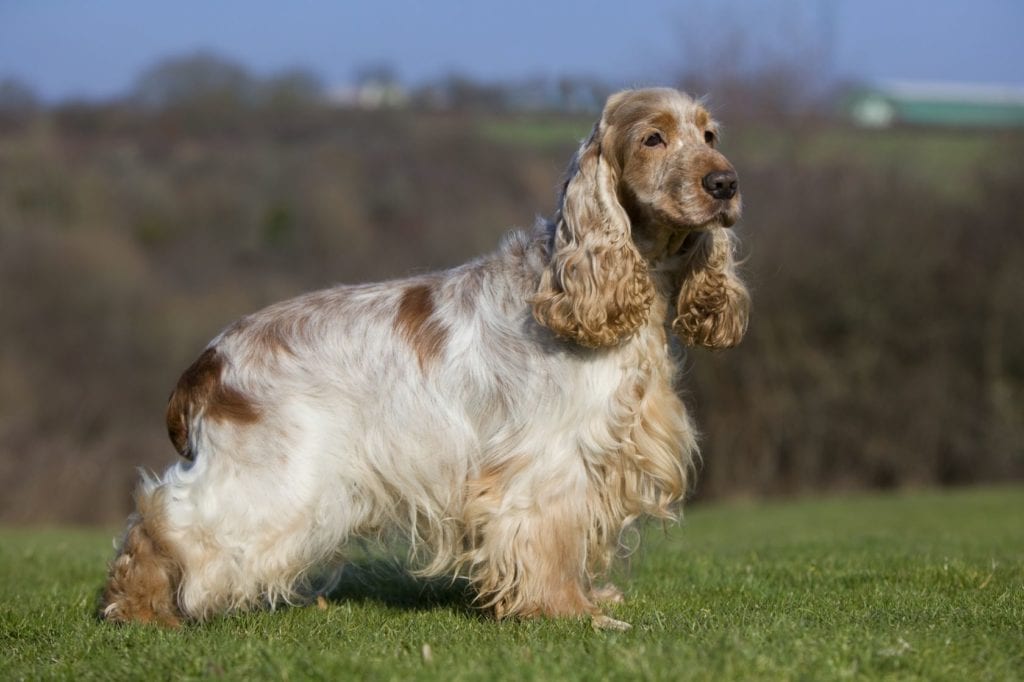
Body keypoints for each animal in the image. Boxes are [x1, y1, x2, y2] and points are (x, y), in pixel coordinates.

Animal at [99, 87, 749, 630]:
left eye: (710, 135)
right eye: (653, 138)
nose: (726, 183)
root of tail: (209, 360)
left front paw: (589, 600)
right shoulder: (548, 460)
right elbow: (546, 539)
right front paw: (567, 612)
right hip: (277, 482)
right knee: (165, 518)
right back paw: (138, 608)